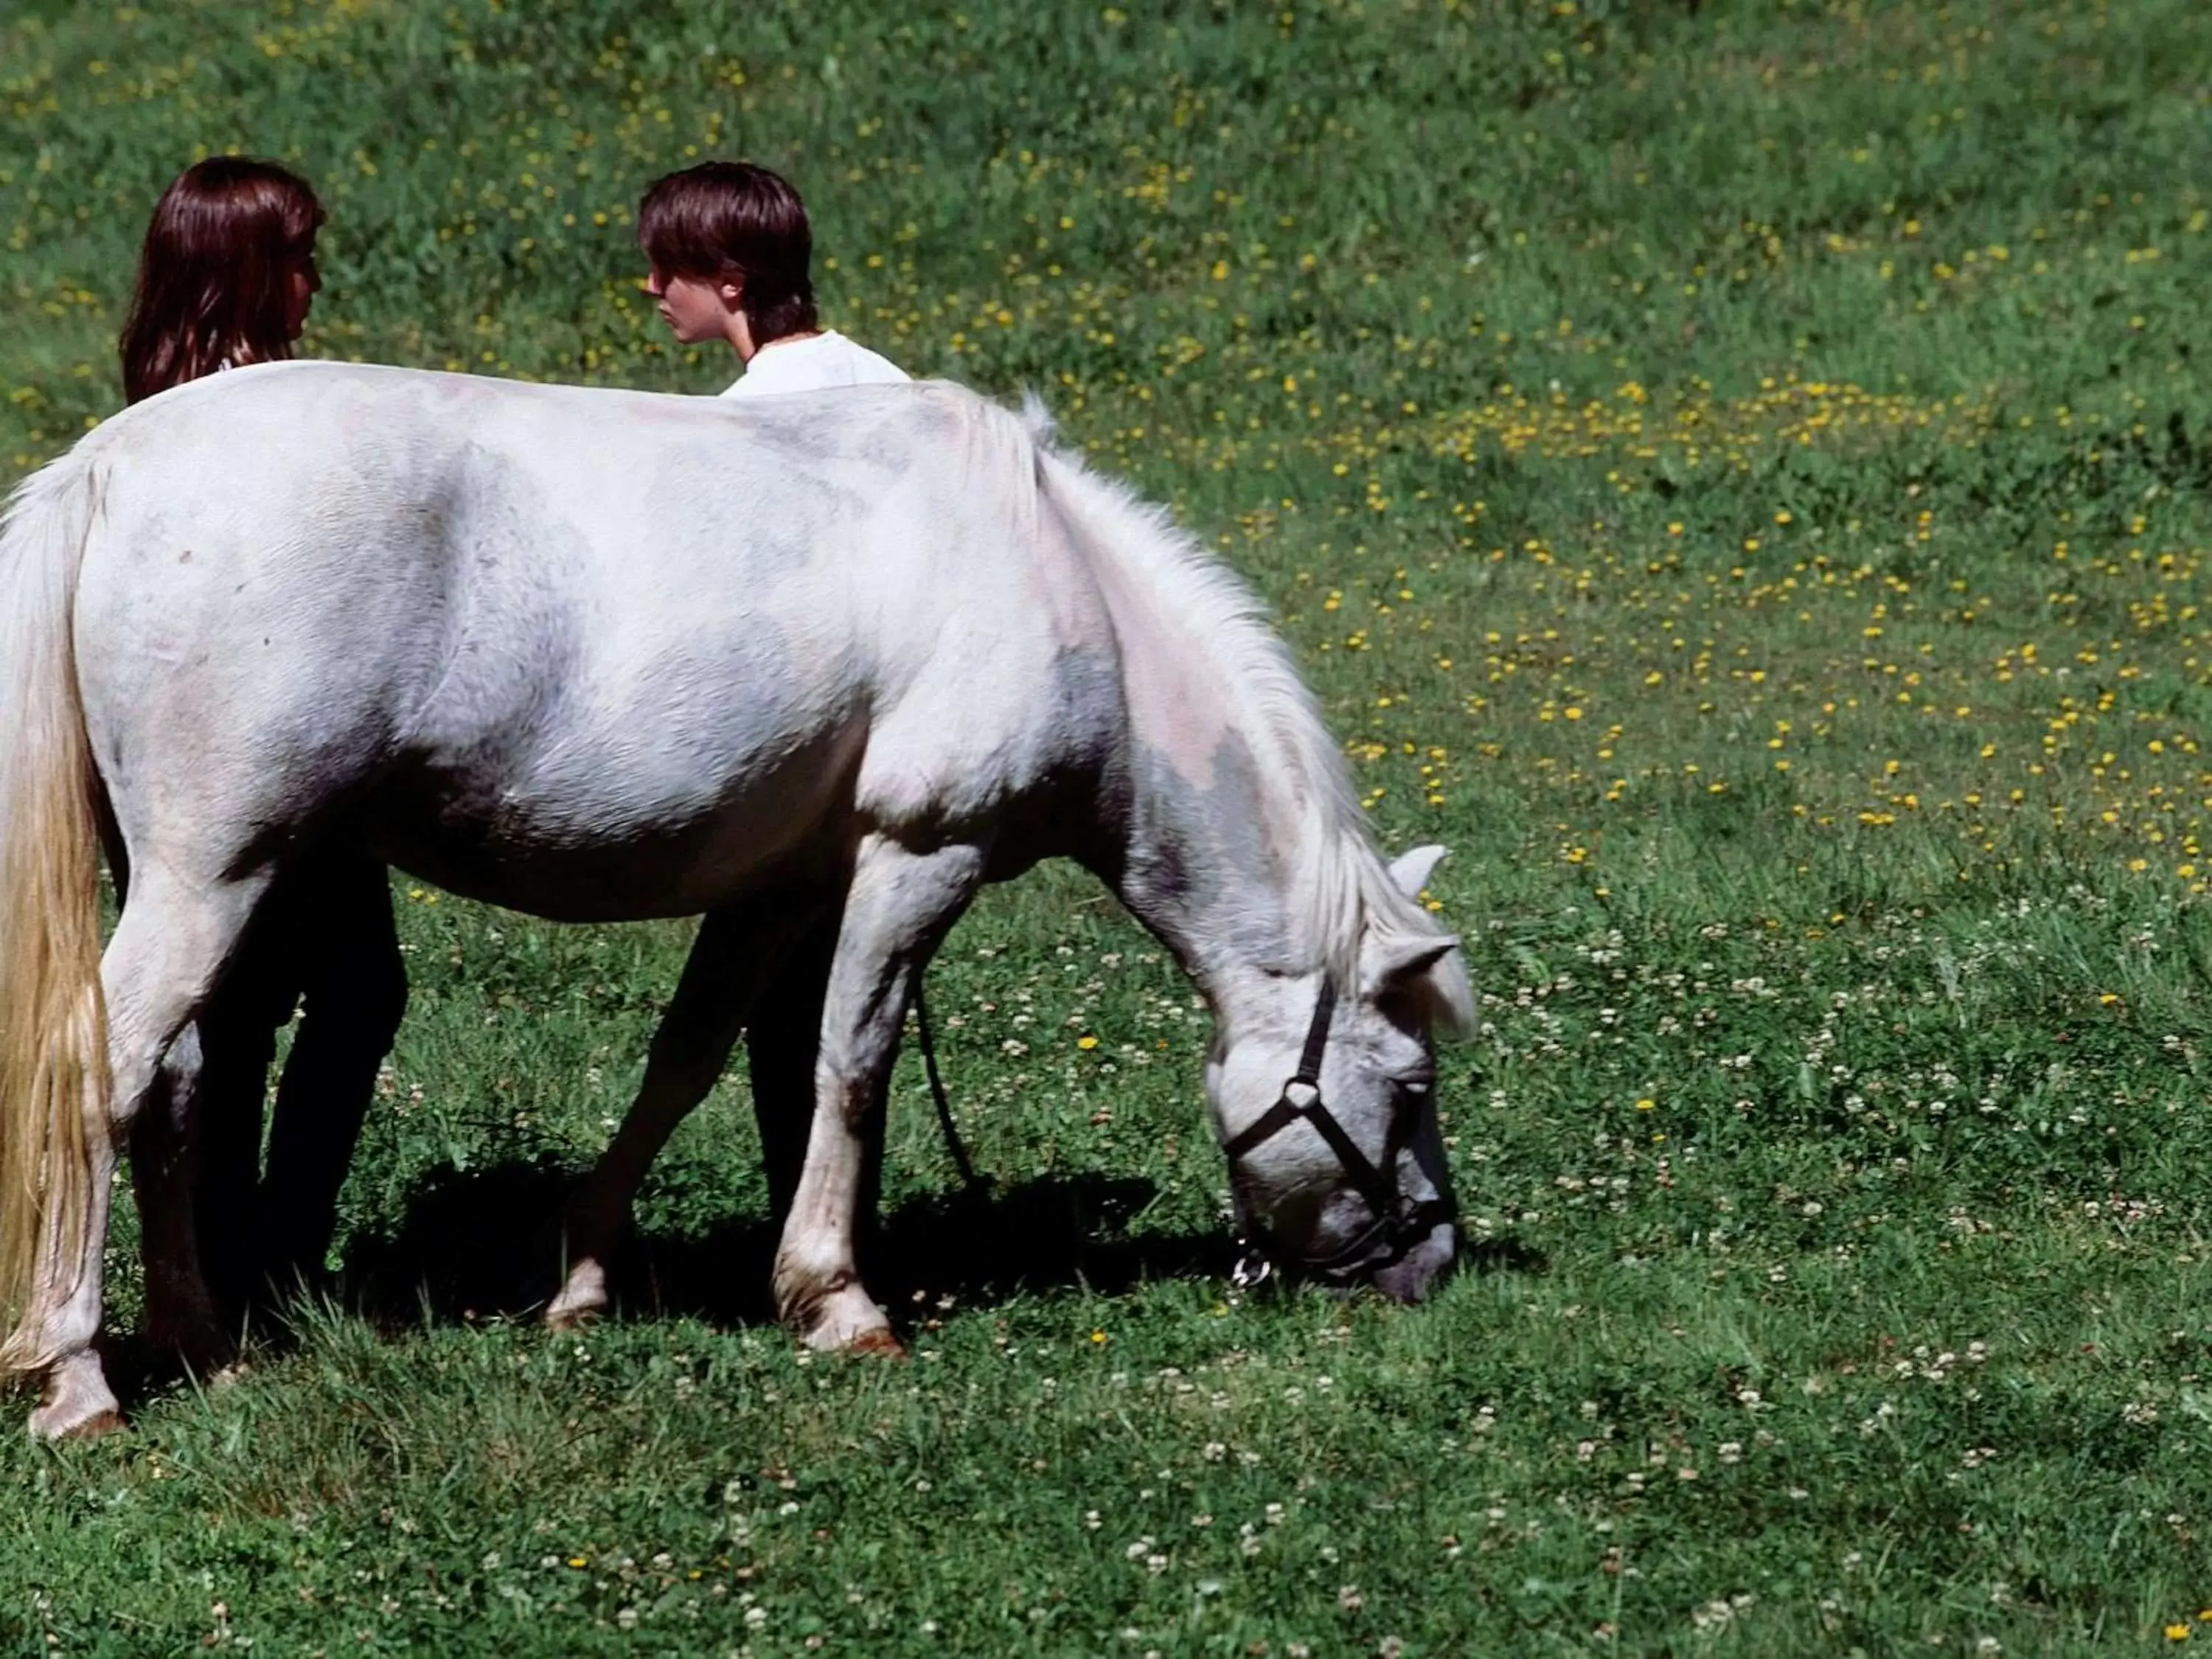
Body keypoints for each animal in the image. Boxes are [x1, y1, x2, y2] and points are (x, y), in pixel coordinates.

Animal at [4, 367, 1486, 1442]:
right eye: (1411, 1087)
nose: (1433, 1262)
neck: (1065, 592)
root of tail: (109, 465)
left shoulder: (782, 886)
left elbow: (687, 1059)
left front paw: (582, 1278)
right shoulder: (916, 858)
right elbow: (852, 1064)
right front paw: (836, 1299)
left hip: (198, 880)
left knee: (175, 1082)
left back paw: (206, 1346)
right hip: (217, 874)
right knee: (101, 1072)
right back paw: (77, 1384)